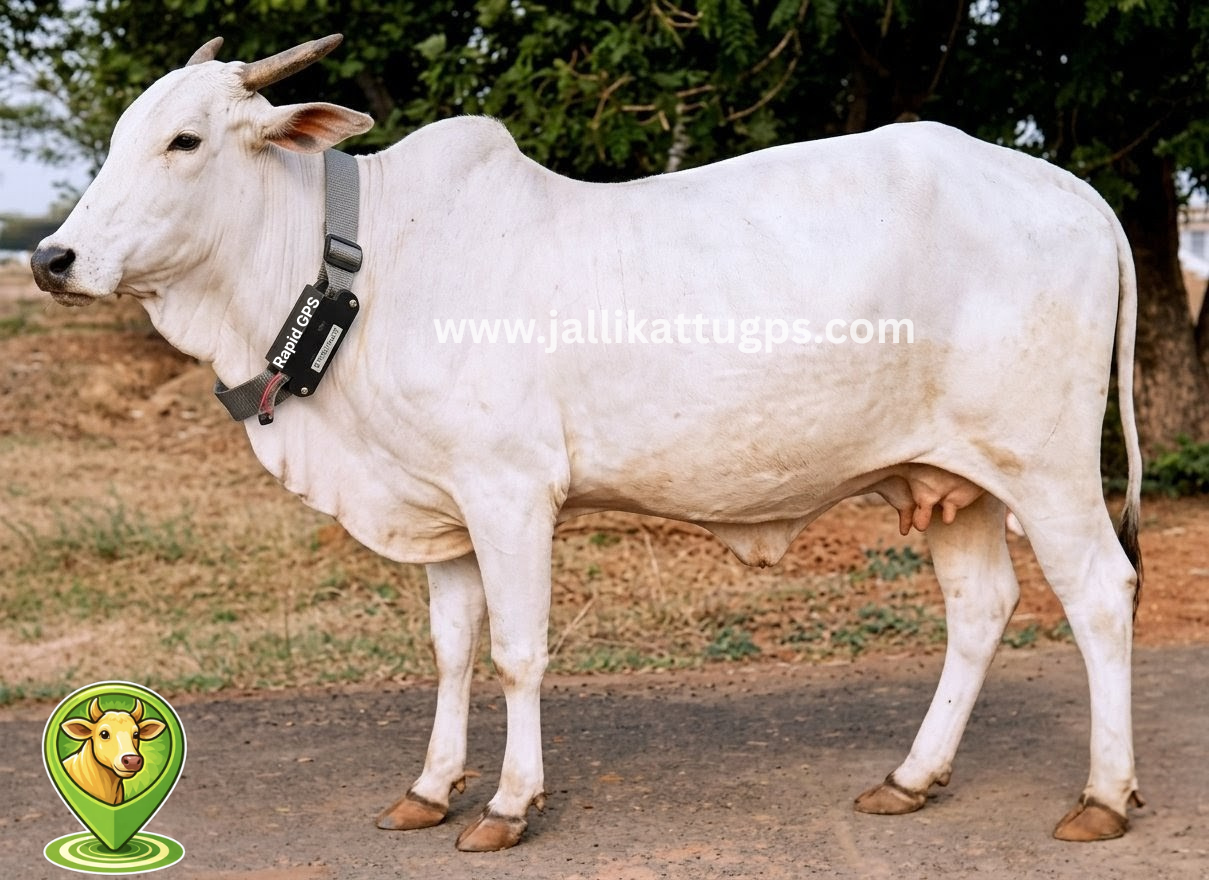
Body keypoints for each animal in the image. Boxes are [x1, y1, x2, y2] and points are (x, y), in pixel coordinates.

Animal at [31, 35, 1144, 851]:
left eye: (183, 142)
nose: (52, 258)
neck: (361, 268)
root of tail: (1077, 194)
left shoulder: (511, 492)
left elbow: (517, 653)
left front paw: (507, 804)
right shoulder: (439, 507)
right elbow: (451, 650)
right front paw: (430, 787)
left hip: (1046, 465)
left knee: (1099, 593)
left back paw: (1104, 794)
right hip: (954, 477)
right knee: (980, 606)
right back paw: (912, 777)